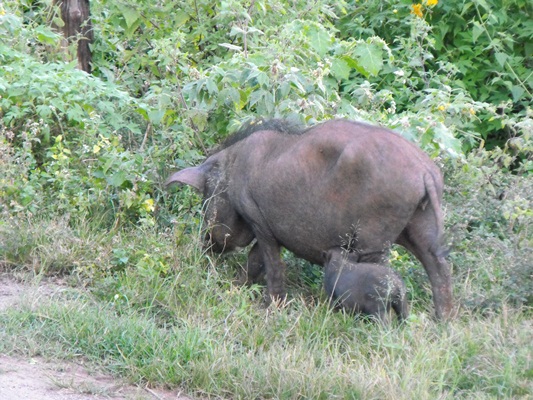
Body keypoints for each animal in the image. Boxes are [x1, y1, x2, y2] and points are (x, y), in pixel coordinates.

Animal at [167, 118, 454, 318]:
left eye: (206, 195)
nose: (205, 246)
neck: (232, 167)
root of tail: (425, 171)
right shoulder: (268, 227)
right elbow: (256, 259)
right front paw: (240, 288)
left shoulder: (259, 220)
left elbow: (269, 265)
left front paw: (270, 306)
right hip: (421, 230)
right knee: (439, 269)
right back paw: (443, 323)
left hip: (374, 240)